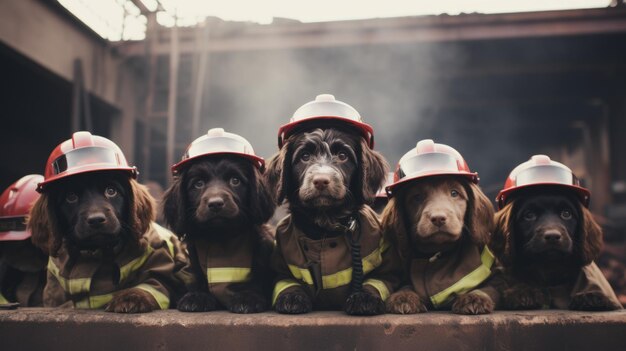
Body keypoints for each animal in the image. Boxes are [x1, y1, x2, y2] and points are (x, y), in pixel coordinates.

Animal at [162, 129, 274, 314]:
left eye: (235, 181)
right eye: (198, 184)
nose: (215, 204)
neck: (220, 237)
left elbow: (257, 275)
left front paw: (248, 297)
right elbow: (198, 276)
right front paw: (197, 296)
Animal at [266, 94, 398, 316]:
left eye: (343, 156)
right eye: (304, 156)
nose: (321, 181)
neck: (324, 227)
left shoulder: (385, 266)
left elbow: (377, 280)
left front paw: (364, 298)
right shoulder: (280, 263)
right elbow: (286, 281)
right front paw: (292, 297)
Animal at [382, 177, 494, 314]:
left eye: (454, 193)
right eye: (417, 197)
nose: (438, 218)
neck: (439, 252)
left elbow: (488, 286)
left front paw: (474, 298)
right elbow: (406, 285)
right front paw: (403, 297)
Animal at [492, 155, 620, 312]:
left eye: (566, 214)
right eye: (529, 215)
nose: (552, 236)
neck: (549, 270)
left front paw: (591, 297)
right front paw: (524, 293)